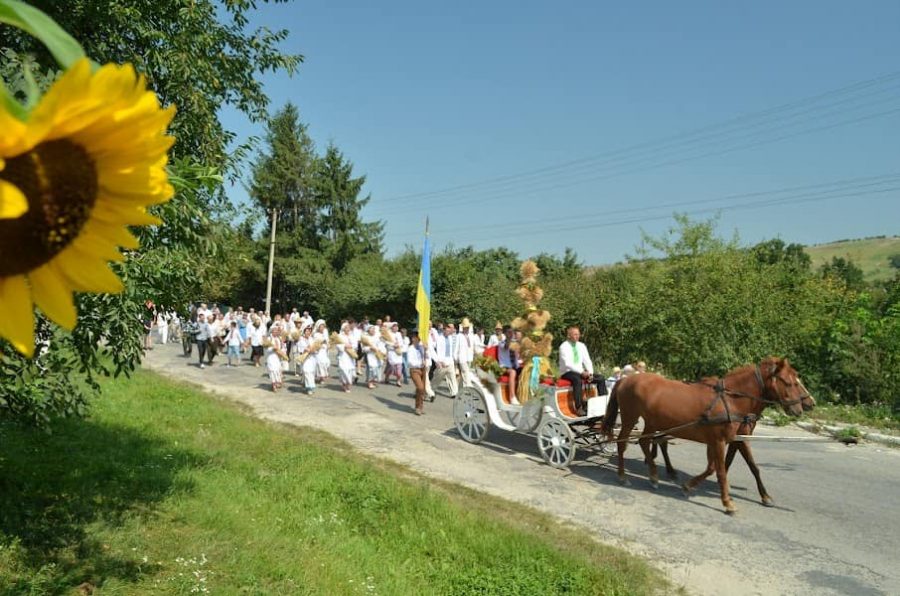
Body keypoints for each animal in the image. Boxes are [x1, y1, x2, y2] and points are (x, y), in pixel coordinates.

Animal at [604, 356, 816, 516]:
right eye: (788, 382)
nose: (804, 406)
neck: (730, 399)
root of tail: (625, 380)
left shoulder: (726, 440)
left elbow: (722, 467)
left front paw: (689, 486)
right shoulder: (719, 441)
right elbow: (721, 470)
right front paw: (727, 502)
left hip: (653, 421)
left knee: (644, 442)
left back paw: (655, 476)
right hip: (631, 417)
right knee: (623, 444)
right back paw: (623, 476)